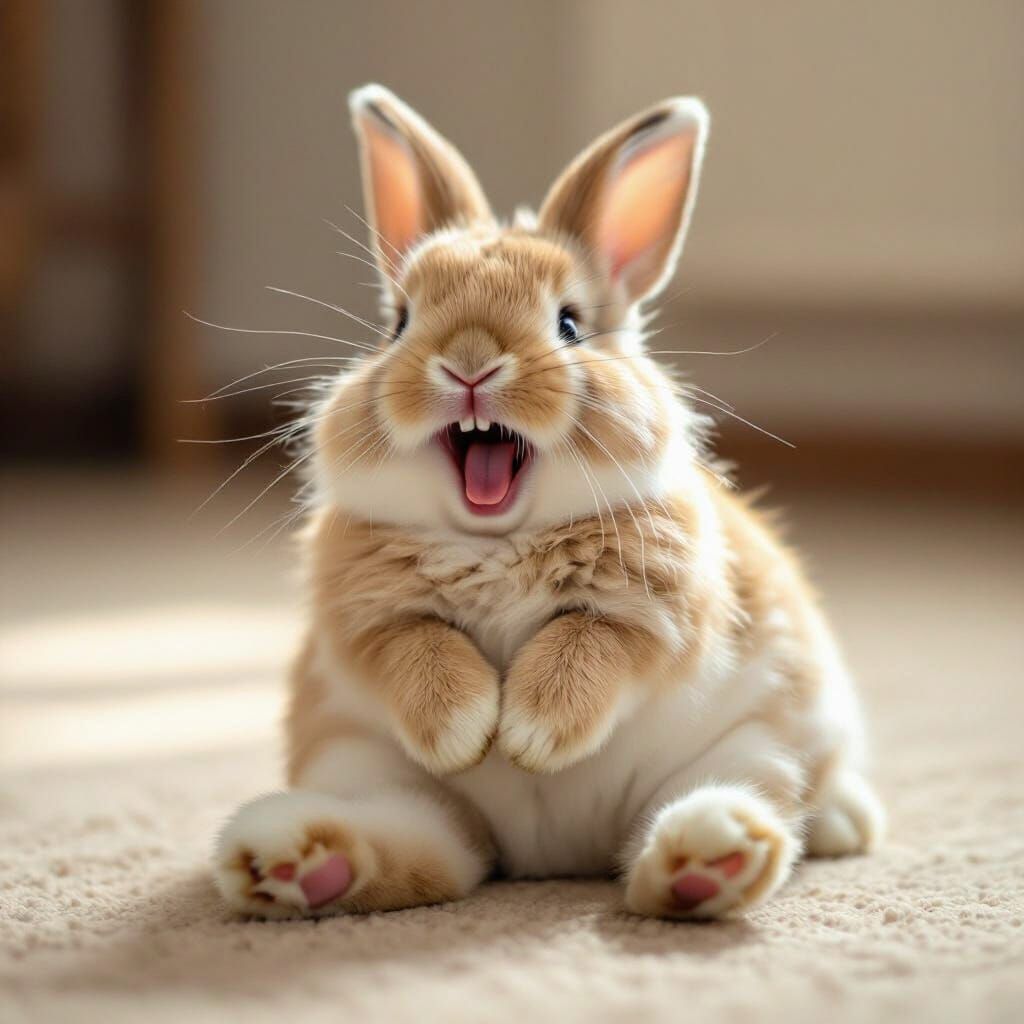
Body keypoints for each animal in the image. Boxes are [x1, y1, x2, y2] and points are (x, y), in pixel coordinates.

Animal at [214, 84, 884, 921]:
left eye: (569, 322)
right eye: (399, 323)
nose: (468, 362)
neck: (494, 540)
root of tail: (554, 855)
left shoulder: (656, 610)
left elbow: (587, 642)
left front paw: (529, 736)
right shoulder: (366, 622)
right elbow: (417, 646)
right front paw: (466, 733)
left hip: (757, 737)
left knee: (744, 803)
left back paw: (735, 849)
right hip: (372, 771)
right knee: (421, 852)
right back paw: (286, 859)